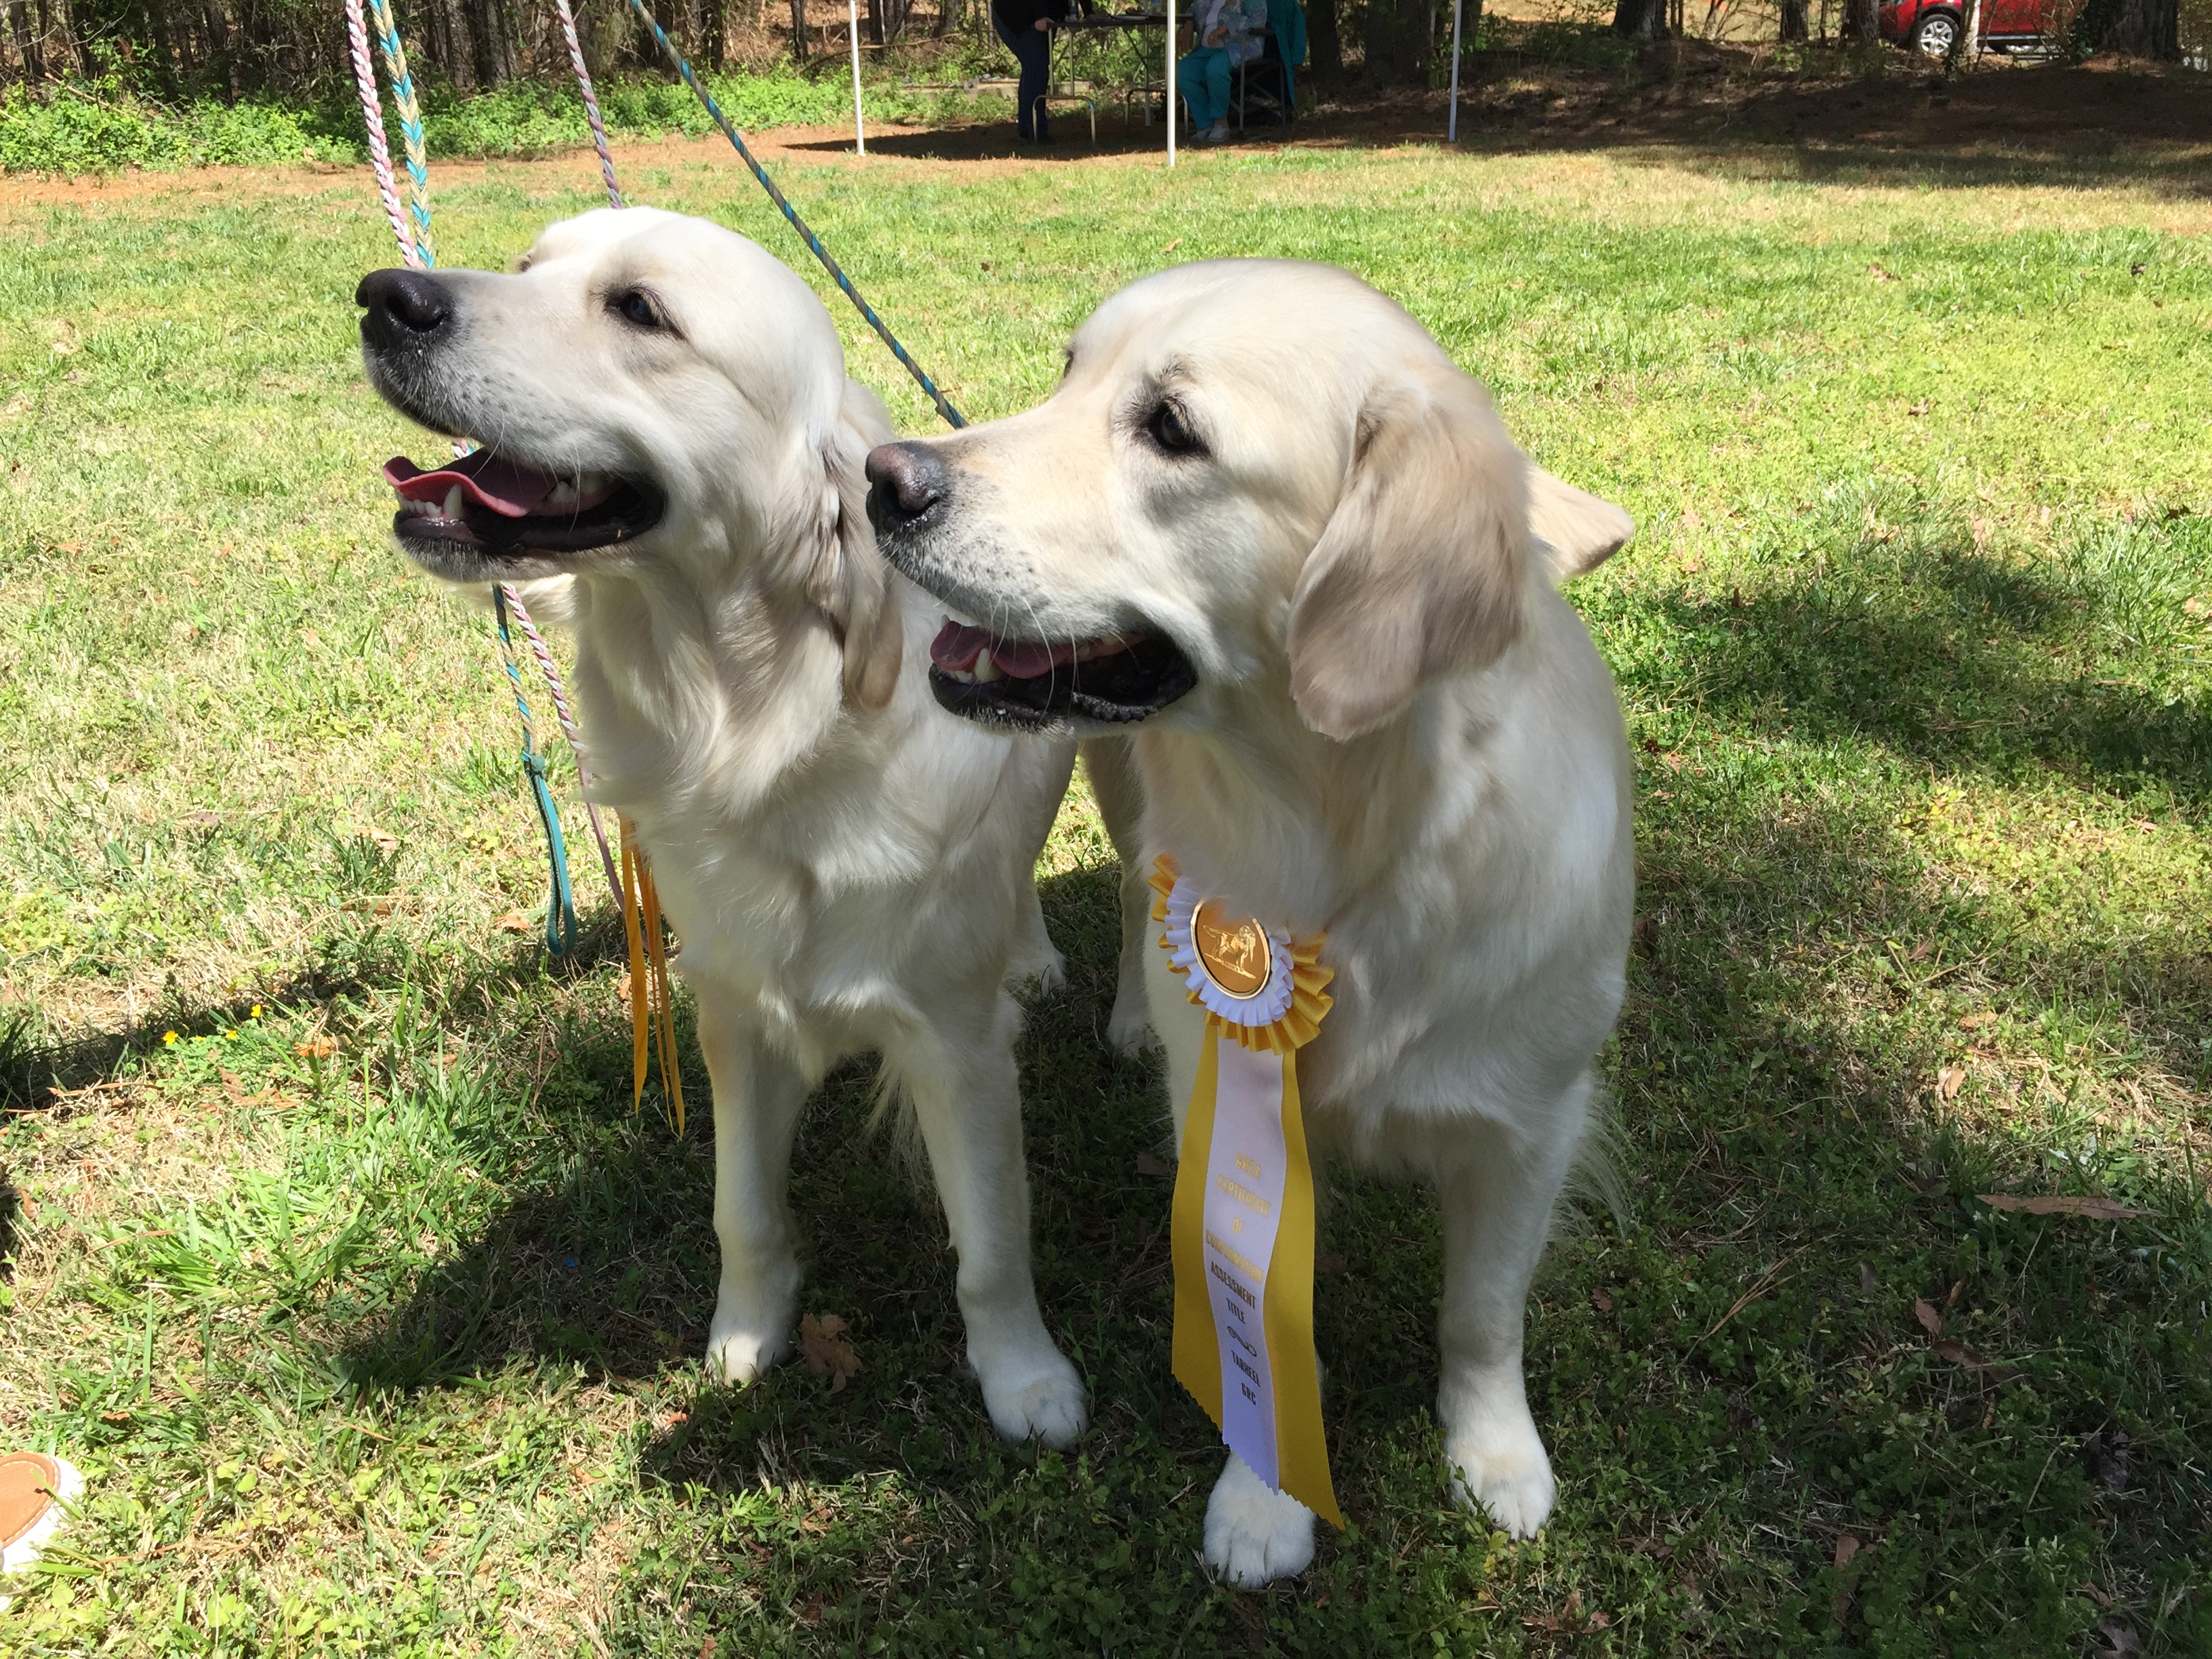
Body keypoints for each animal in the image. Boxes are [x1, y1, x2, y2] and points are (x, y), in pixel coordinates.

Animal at [354, 207, 1088, 1451]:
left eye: (640, 311)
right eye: (526, 266)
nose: (384, 297)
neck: (764, 731)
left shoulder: (953, 1039)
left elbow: (991, 1244)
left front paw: (1023, 1379)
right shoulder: (736, 1008)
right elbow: (739, 1206)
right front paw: (748, 1334)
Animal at [862, 260, 1645, 1584]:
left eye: (1172, 429)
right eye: (1066, 372)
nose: (882, 479)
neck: (1350, 835)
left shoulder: (1532, 1116)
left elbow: (1483, 1313)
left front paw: (1495, 1453)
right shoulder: (1228, 1094)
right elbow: (1264, 1309)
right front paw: (1265, 1496)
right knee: (1138, 883)